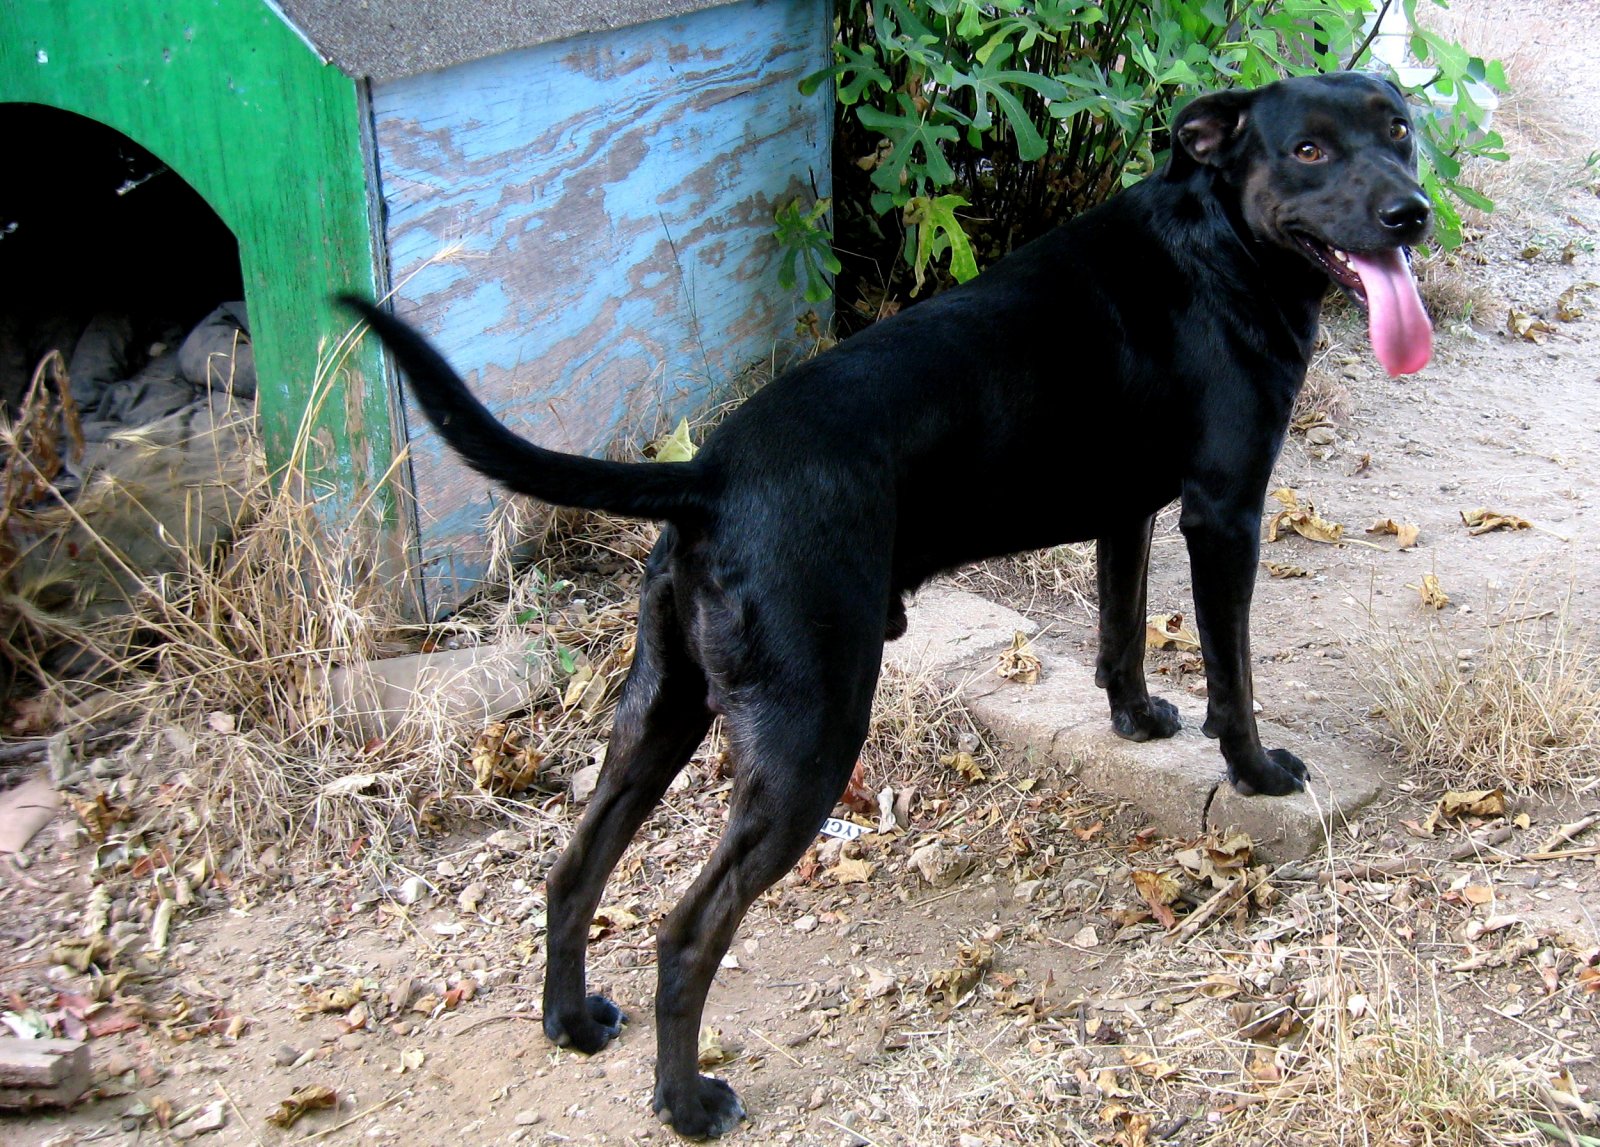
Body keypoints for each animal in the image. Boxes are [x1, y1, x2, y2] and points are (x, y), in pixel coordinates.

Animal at [344, 73, 1433, 1139]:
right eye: (1307, 149)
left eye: (1398, 131)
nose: (1411, 212)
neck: (1217, 241)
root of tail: (707, 477)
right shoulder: (1225, 512)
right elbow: (1232, 672)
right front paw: (1256, 771)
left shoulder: (1126, 509)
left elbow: (1120, 627)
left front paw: (1135, 718)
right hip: (810, 736)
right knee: (686, 930)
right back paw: (688, 1103)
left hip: (662, 706)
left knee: (573, 871)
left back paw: (569, 1022)